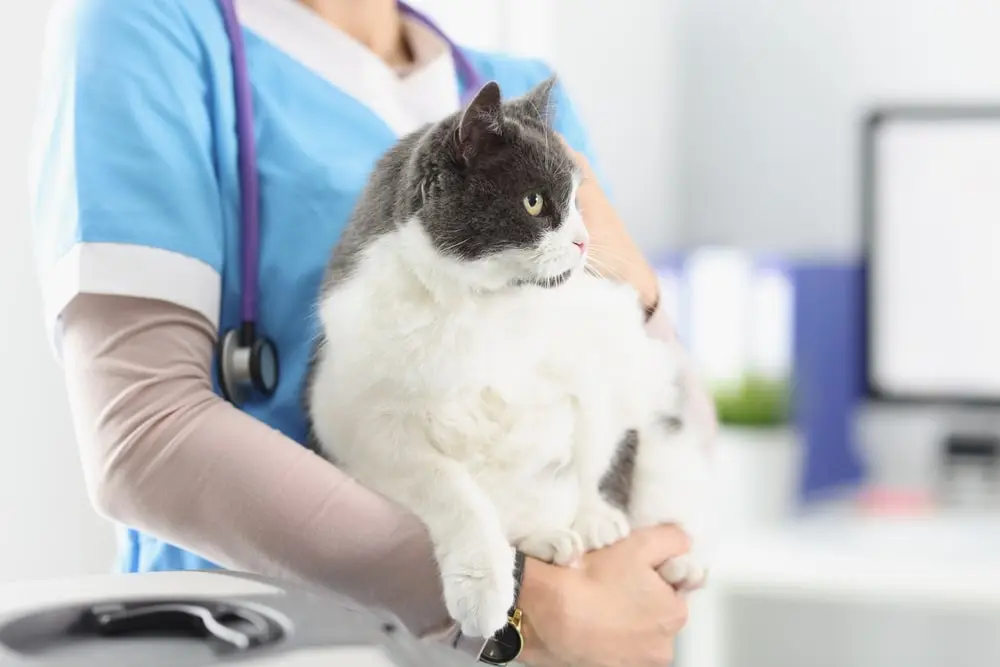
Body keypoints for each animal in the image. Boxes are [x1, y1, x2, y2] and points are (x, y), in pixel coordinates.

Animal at [304, 75, 712, 640]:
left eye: (578, 200)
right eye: (535, 202)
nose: (583, 242)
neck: (482, 307)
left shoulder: (603, 345)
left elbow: (600, 445)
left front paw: (596, 517)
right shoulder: (364, 424)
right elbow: (452, 490)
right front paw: (483, 583)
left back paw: (676, 560)